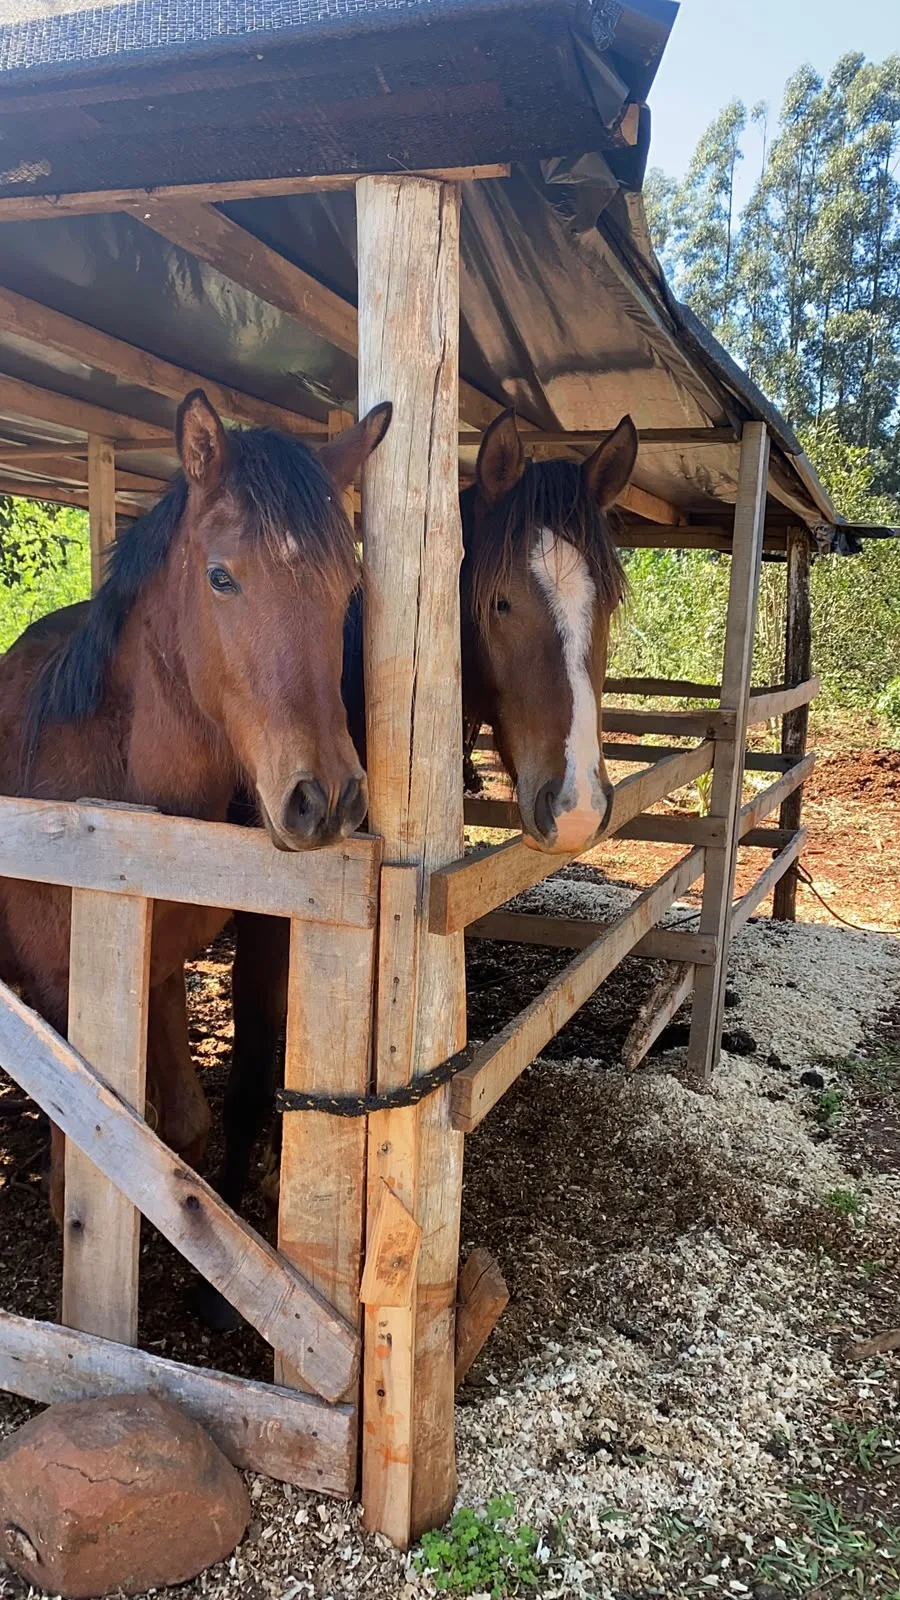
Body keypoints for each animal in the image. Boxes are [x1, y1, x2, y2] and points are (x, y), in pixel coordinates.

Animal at [0, 388, 392, 1218]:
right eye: (220, 577)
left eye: (350, 590)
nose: (325, 797)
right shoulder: (64, 998)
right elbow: (75, 1186)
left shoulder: (155, 969)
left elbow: (181, 1131)